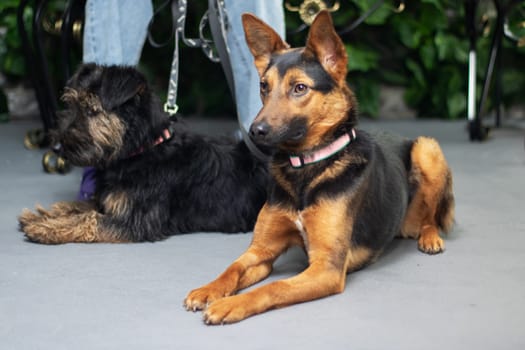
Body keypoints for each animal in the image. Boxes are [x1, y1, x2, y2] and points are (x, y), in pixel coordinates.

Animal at [18, 63, 268, 243]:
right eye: (71, 105)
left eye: (92, 110)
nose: (57, 146)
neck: (141, 151)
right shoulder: (110, 201)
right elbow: (81, 206)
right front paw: (44, 215)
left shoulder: (136, 220)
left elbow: (89, 219)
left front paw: (44, 227)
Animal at [182, 10, 452, 326]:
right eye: (264, 86)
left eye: (300, 88)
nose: (254, 132)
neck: (306, 167)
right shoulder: (260, 252)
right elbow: (233, 268)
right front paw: (209, 290)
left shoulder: (327, 267)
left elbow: (275, 287)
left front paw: (230, 304)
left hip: (427, 149)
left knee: (431, 216)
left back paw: (430, 237)